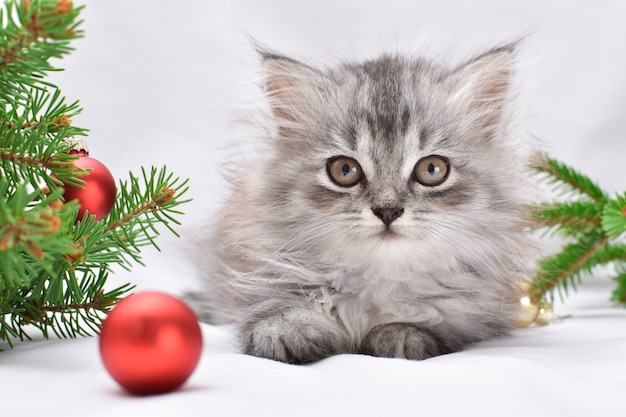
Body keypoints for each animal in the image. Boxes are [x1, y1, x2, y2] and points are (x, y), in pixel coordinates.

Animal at [191, 45, 536, 362]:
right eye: (345, 171)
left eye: (432, 170)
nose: (388, 210)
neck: (378, 283)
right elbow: (275, 308)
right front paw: (286, 331)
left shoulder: (475, 312)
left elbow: (427, 322)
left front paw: (401, 334)